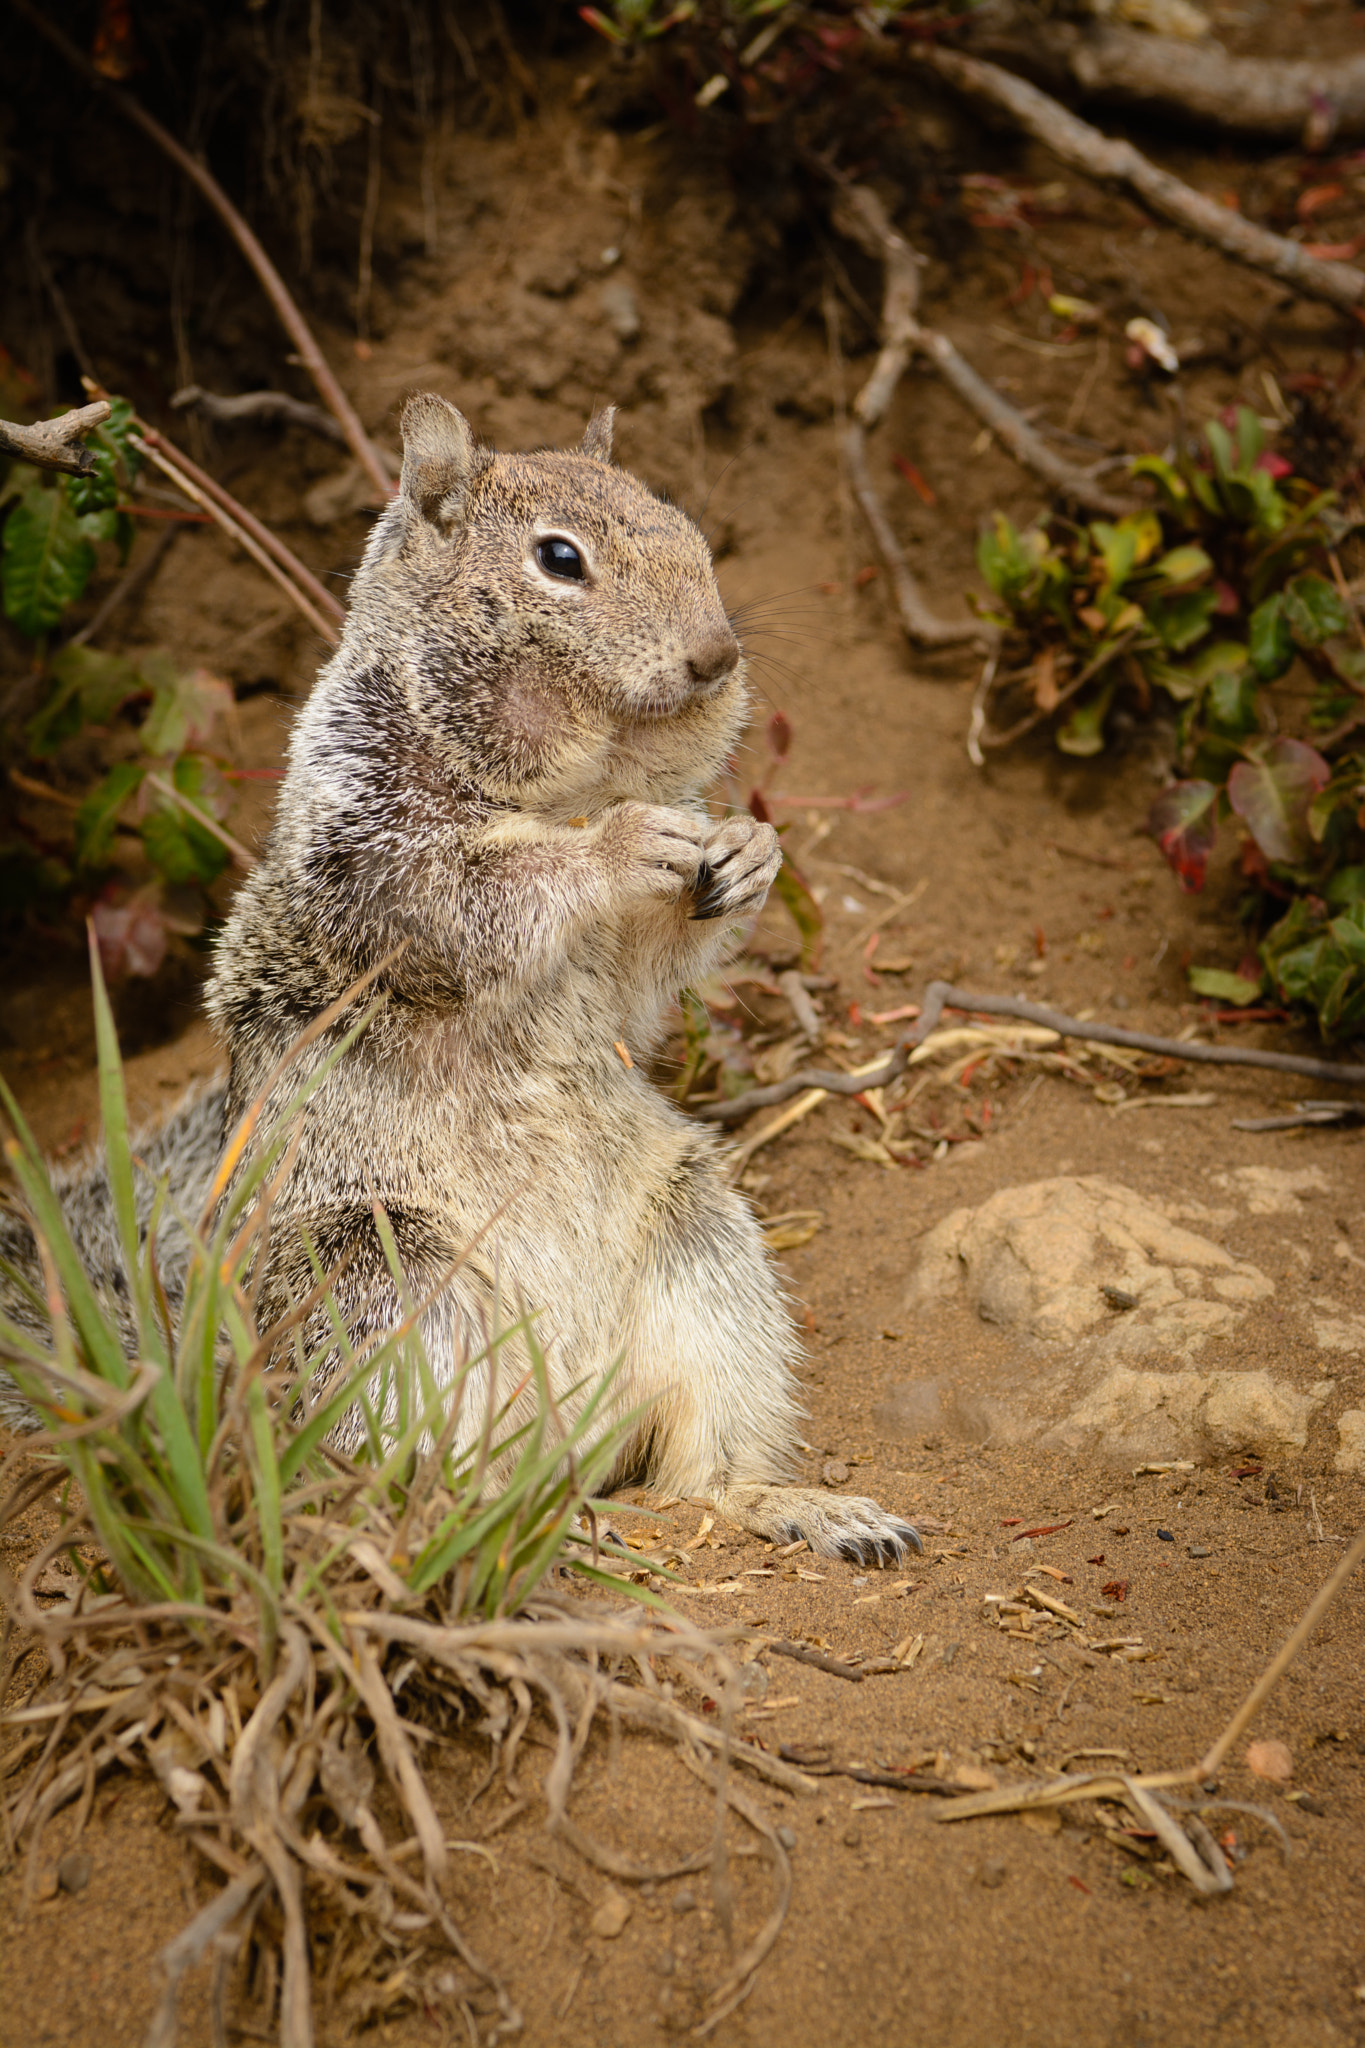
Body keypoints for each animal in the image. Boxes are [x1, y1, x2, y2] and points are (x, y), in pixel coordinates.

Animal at [1, 396, 919, 1566]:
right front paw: (619, 846)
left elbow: (639, 982)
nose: (718, 654)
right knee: (412, 1474)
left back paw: (787, 1503)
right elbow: (469, 898)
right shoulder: (370, 851)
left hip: (704, 1253)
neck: (573, 781)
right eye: (559, 559)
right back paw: (495, 1521)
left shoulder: (607, 976)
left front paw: (749, 852)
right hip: (384, 1286)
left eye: (686, 526)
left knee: (697, 1471)